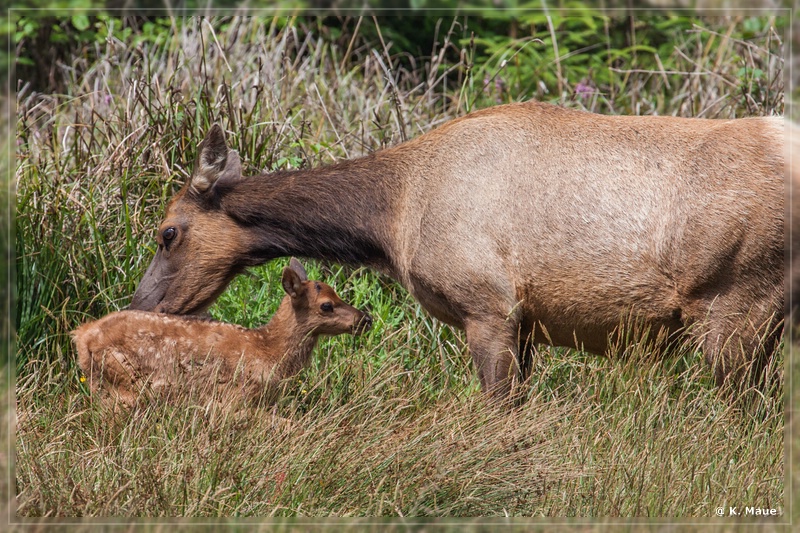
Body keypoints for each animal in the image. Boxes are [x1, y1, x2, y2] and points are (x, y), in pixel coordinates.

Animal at [72, 258, 372, 408]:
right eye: (327, 305)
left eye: (338, 293)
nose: (365, 319)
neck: (268, 351)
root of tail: (82, 335)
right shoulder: (232, 400)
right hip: (123, 383)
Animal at [128, 102, 784, 396]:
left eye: (168, 232)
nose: (139, 306)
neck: (391, 218)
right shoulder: (526, 323)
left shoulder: (488, 306)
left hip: (737, 307)